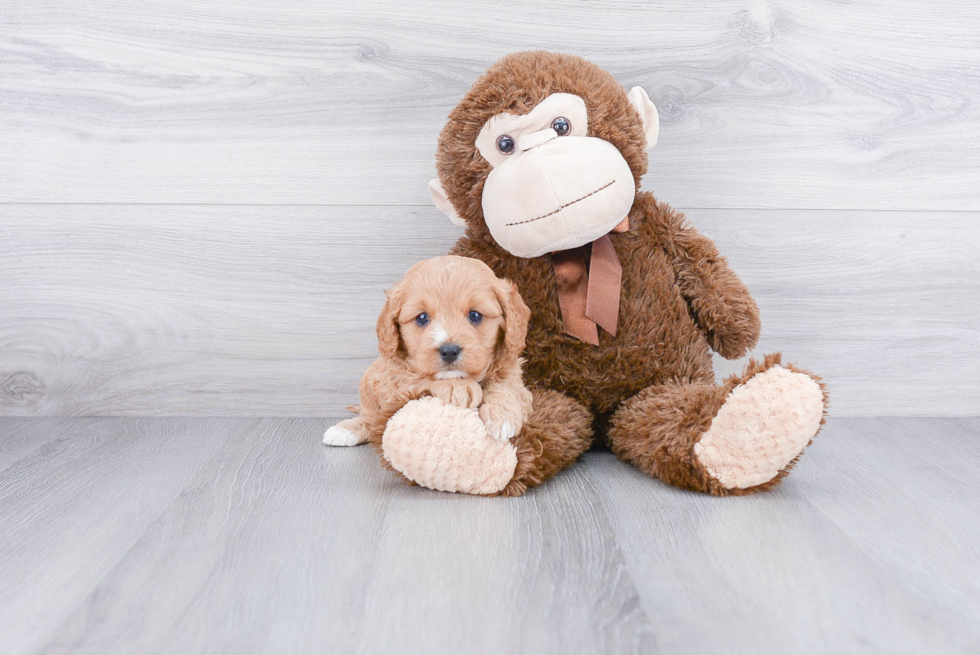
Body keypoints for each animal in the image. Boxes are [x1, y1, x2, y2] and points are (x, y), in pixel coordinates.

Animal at [326, 256, 532, 452]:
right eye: (422, 317)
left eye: (475, 315)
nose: (449, 351)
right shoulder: (397, 379)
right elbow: (421, 378)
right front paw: (458, 386)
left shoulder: (516, 379)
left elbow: (505, 386)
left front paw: (502, 414)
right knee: (370, 418)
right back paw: (346, 429)